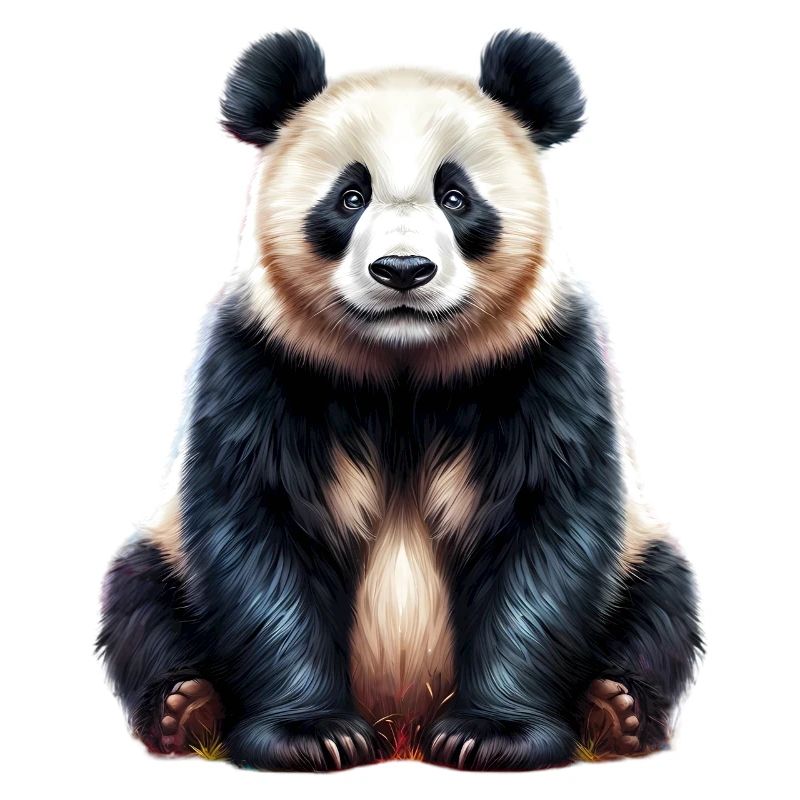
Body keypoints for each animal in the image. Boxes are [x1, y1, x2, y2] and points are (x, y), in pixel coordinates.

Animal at [97, 29, 702, 771]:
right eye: (350, 196)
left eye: (457, 197)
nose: (404, 270)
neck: (402, 364)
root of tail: (401, 723)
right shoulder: (261, 364)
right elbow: (261, 531)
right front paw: (311, 736)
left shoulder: (543, 364)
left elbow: (545, 530)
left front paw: (492, 736)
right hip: (166, 555)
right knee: (138, 600)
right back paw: (185, 708)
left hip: (638, 556)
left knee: (662, 602)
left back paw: (617, 711)